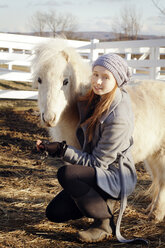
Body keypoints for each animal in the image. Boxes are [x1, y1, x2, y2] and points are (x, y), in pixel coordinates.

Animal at [32, 39, 165, 223]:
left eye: (65, 81)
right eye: (39, 79)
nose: (49, 118)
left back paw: (157, 214)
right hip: (153, 154)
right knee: (158, 178)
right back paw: (151, 208)